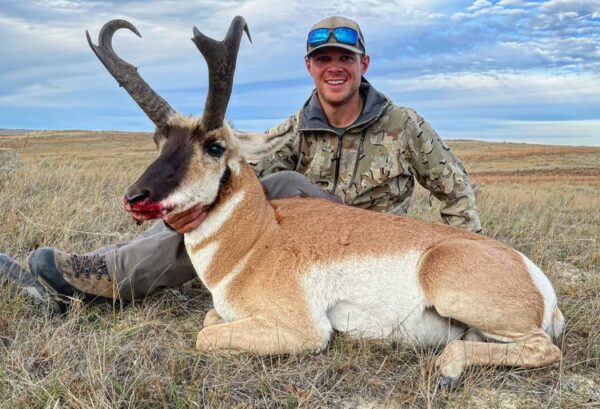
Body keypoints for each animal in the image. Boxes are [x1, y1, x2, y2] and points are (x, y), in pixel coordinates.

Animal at [88, 16, 564, 386]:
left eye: (215, 146)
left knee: (544, 350)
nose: (135, 197)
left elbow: (206, 334)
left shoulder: (305, 330)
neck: (258, 238)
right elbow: (210, 319)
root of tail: (533, 275)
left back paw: (447, 367)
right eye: (159, 141)